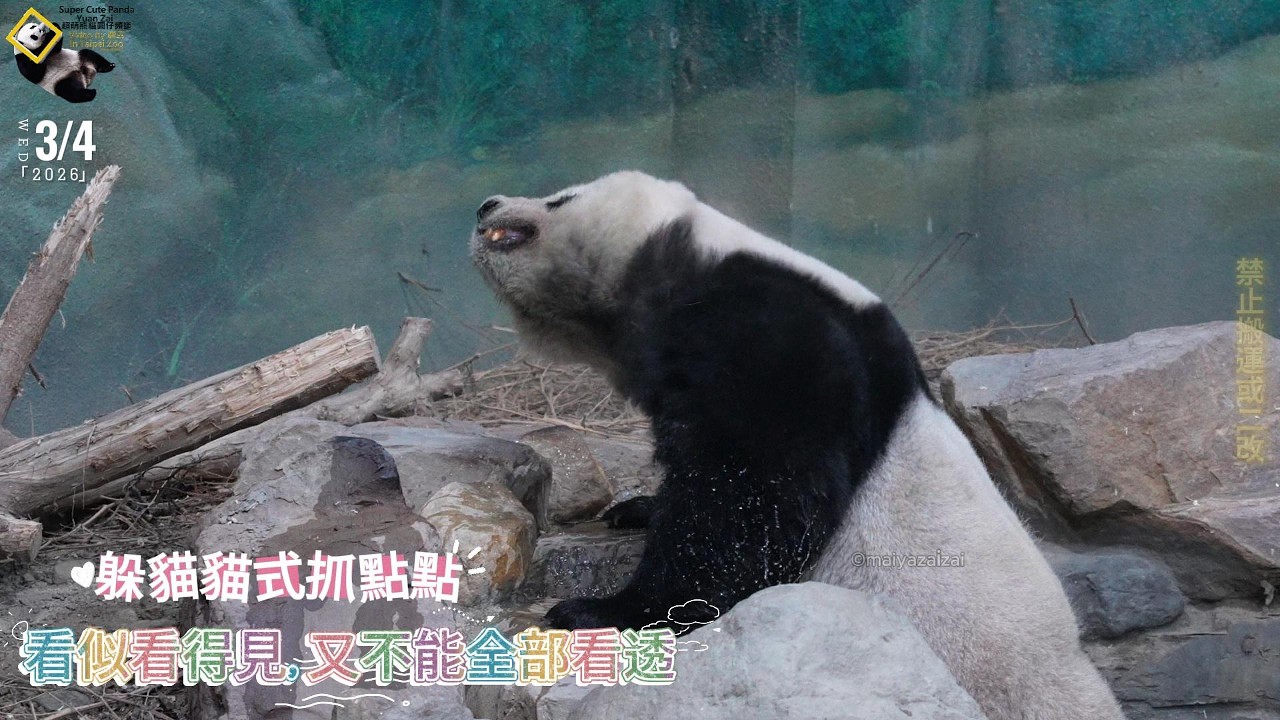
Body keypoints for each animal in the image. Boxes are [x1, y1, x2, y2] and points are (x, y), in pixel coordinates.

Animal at [469, 171, 1125, 720]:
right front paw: (638, 509)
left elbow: (751, 497)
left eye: (561, 198)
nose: (487, 204)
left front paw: (601, 611)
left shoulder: (779, 342)